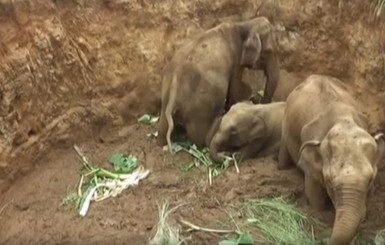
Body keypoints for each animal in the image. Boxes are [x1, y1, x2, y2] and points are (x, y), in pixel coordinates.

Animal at [156, 16, 280, 153]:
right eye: (268, 51)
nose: (254, 98)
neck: (244, 24)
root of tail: (175, 81)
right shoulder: (235, 62)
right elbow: (234, 87)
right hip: (200, 106)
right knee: (198, 137)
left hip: (167, 94)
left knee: (163, 125)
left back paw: (161, 143)